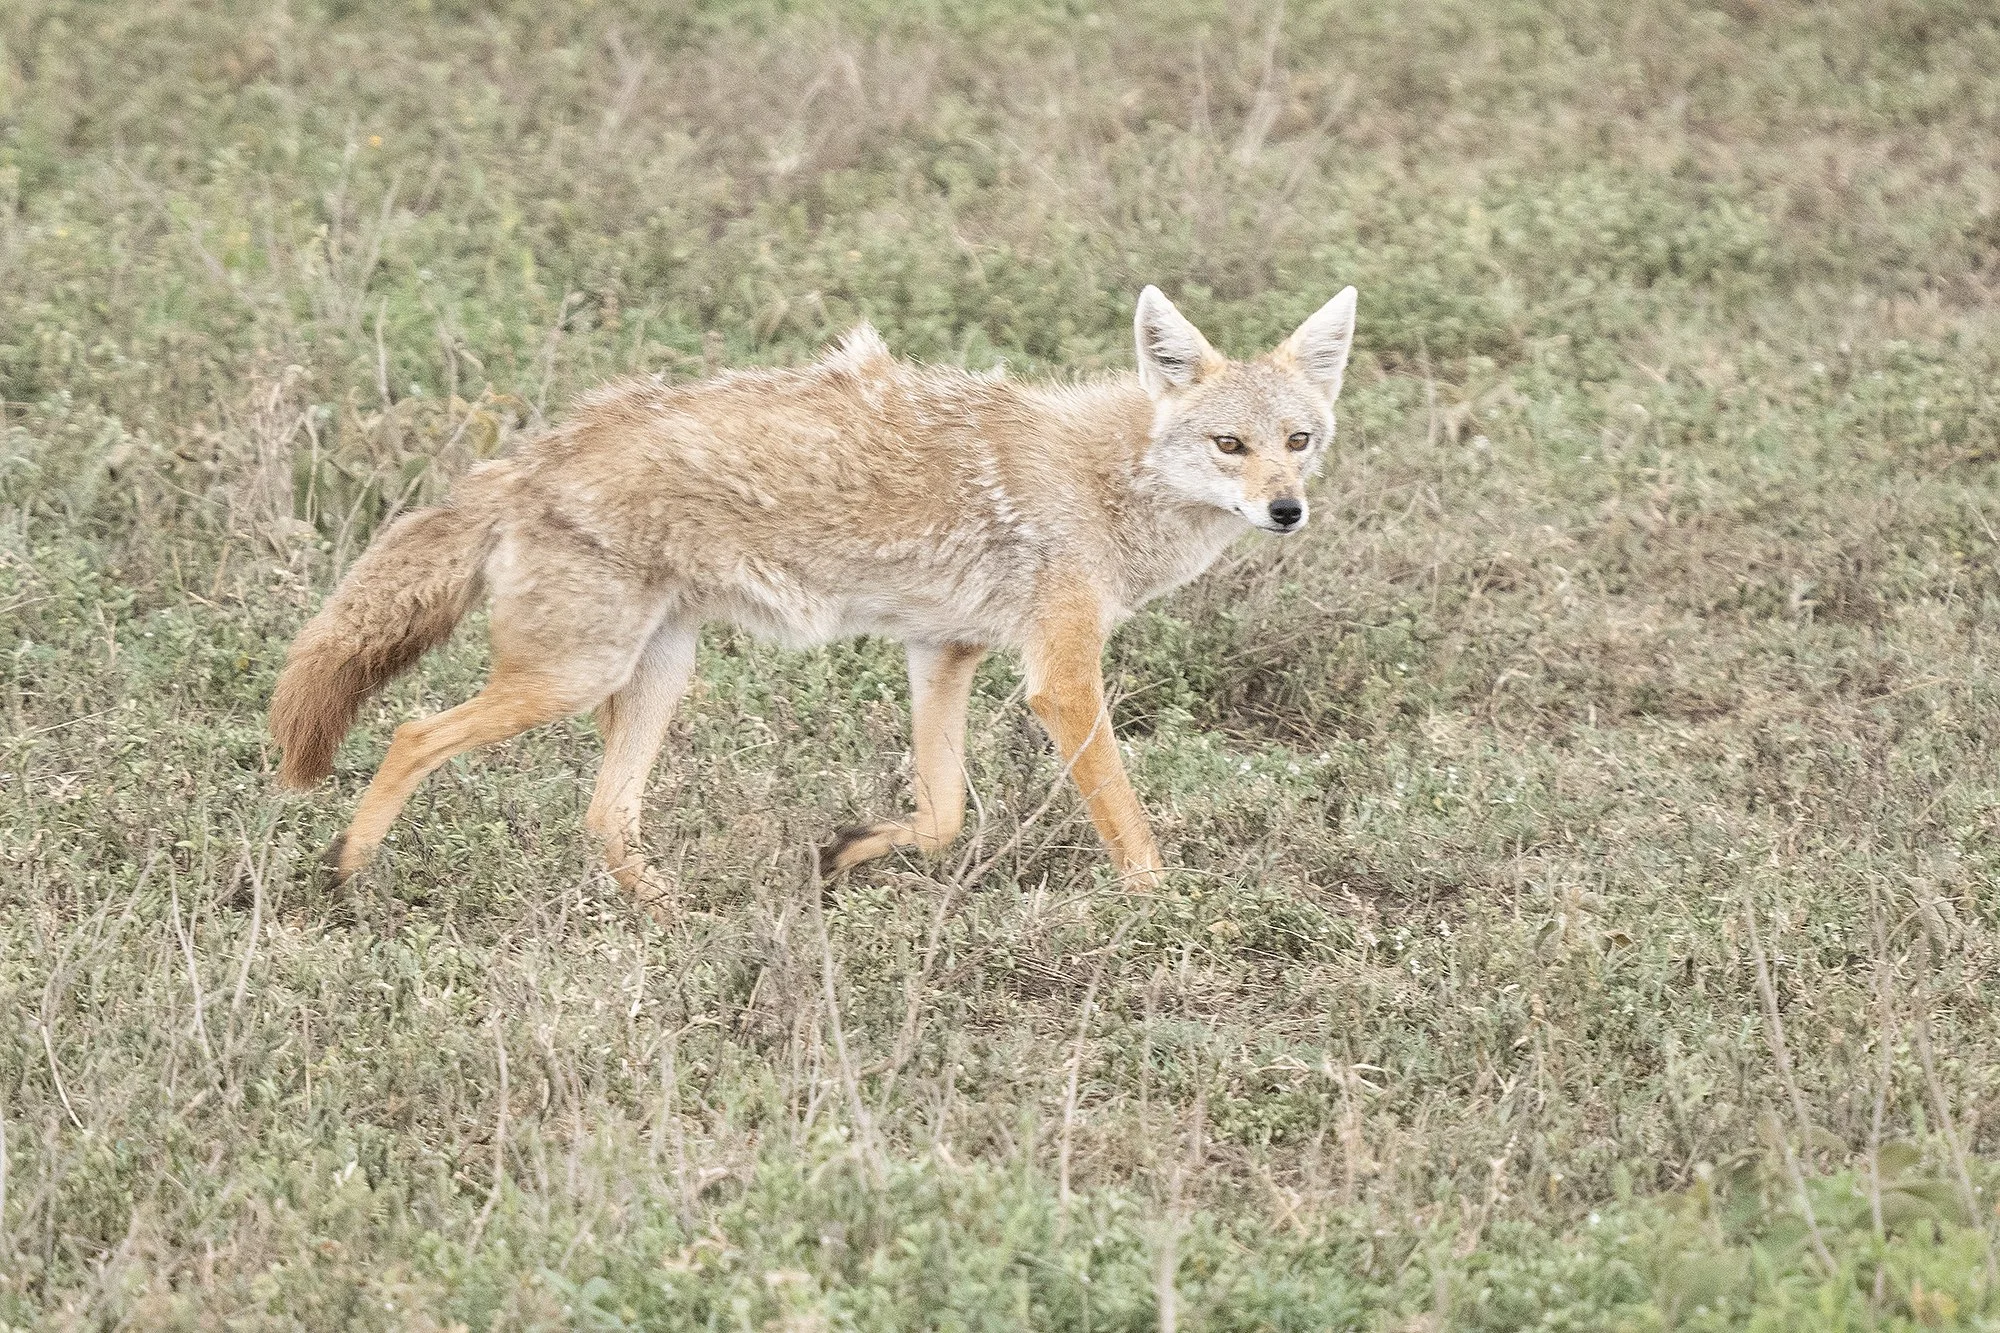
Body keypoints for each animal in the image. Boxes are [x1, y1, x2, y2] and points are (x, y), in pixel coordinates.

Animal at [269, 285, 1357, 917]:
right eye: (1229, 444)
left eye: (1297, 440)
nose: (1286, 510)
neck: (1107, 479)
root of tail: (530, 462)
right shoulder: (1059, 676)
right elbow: (1128, 826)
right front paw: (1160, 911)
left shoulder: (943, 652)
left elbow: (943, 816)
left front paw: (842, 854)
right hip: (569, 679)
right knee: (412, 731)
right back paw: (345, 876)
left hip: (652, 678)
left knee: (603, 815)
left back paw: (682, 914)